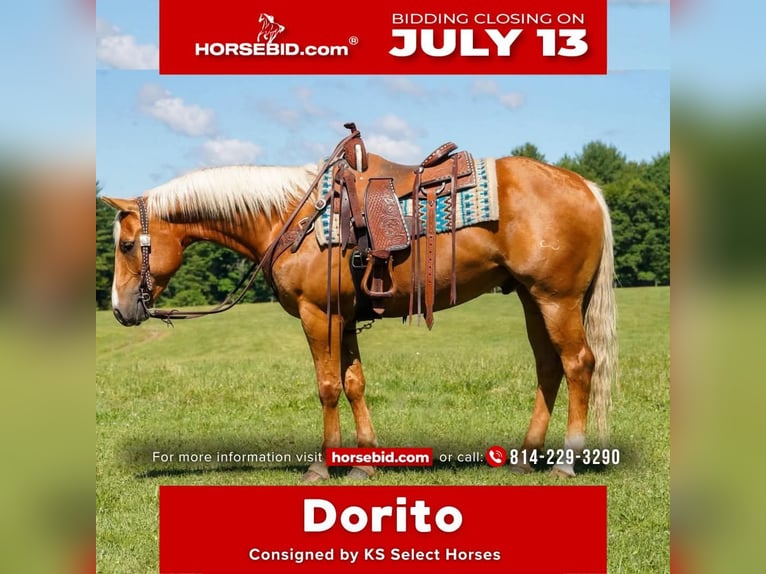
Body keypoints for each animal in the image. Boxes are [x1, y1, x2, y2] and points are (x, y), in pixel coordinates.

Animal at [102, 146, 617, 481]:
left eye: (126, 245)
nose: (119, 310)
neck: (291, 216)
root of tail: (585, 185)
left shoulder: (318, 315)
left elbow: (328, 386)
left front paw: (322, 464)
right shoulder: (345, 318)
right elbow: (354, 383)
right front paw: (366, 461)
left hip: (556, 299)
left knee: (578, 365)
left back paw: (568, 461)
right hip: (533, 298)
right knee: (549, 367)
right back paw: (526, 456)